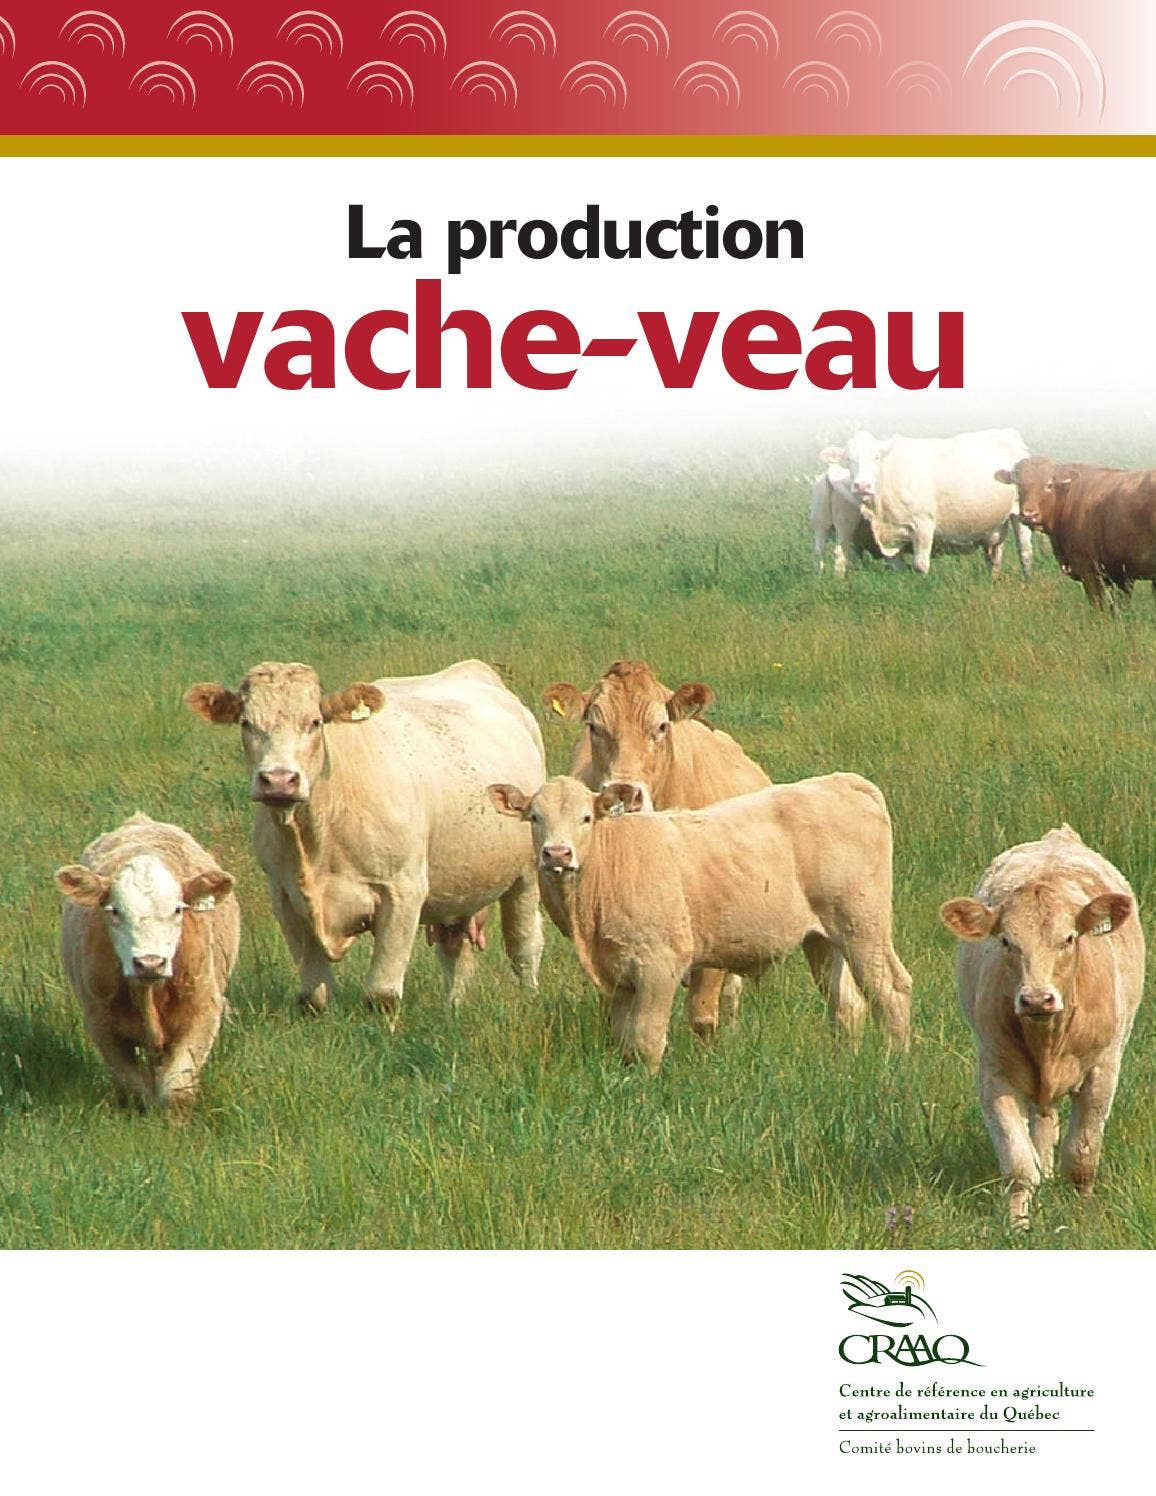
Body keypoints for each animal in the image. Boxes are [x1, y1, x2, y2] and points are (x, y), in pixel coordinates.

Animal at [55, 813, 239, 1110]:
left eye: (178, 909)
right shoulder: (101, 1024)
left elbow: (176, 1089)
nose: (150, 962)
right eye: (114, 911)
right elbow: (133, 1088)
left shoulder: (204, 1013)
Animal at [184, 659, 545, 1018]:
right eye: (246, 723)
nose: (278, 780)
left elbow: (381, 993)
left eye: (314, 722)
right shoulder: (284, 897)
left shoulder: (403, 890)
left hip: (526, 875)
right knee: (455, 950)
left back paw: (529, 998)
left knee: (524, 946)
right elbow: (314, 996)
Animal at [488, 775, 912, 1074]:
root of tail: (843, 782)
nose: (557, 853)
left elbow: (646, 1039)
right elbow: (624, 1040)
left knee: (891, 992)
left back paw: (894, 1064)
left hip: (863, 927)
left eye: (586, 818)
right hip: (824, 939)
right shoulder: (619, 974)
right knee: (847, 1005)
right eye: (535, 817)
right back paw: (845, 1067)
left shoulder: (659, 965)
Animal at [824, 428, 1033, 577]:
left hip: (1019, 513)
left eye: (876, 457)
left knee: (1025, 551)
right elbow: (897, 567)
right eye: (847, 460)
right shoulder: (892, 537)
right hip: (994, 524)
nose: (862, 485)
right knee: (995, 554)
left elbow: (920, 565)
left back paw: (1027, 579)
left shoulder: (923, 523)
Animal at [940, 825, 1144, 1226]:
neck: (1048, 1037)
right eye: (1006, 941)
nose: (1036, 999)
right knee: (1041, 1121)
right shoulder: (995, 1074)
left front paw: (1081, 1214)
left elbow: (1081, 1156)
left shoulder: (1103, 1071)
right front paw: (1018, 1224)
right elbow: (1019, 1165)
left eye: (1068, 938)